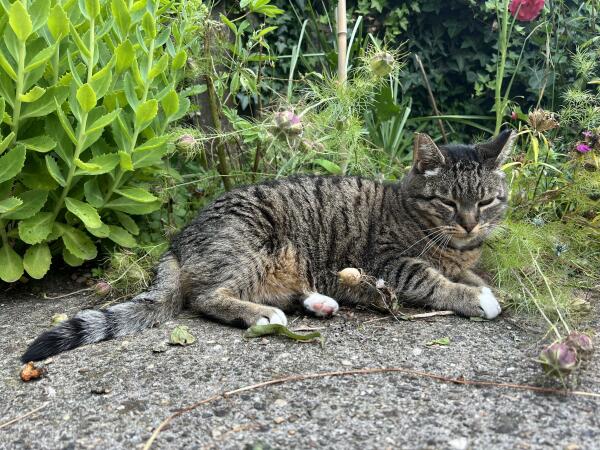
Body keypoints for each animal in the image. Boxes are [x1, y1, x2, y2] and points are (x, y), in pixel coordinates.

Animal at [21, 130, 512, 362]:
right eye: (448, 202)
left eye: (486, 201)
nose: (470, 224)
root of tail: (178, 242)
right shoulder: (388, 262)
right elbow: (432, 278)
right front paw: (475, 297)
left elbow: (470, 271)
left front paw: (486, 282)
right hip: (255, 246)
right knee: (206, 297)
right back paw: (263, 314)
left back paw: (318, 302)